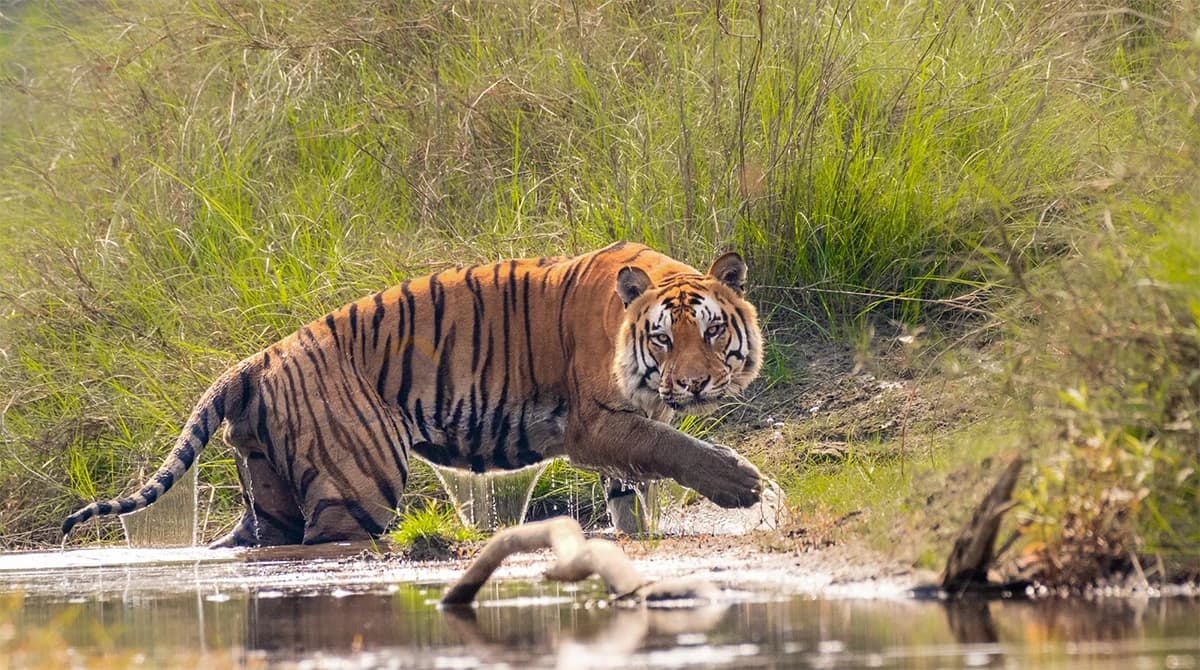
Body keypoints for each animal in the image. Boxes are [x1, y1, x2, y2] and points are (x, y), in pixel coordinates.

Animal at [61, 242, 764, 547]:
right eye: (663, 339)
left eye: (711, 330)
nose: (692, 382)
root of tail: (256, 360)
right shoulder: (595, 424)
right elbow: (670, 447)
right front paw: (743, 486)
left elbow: (635, 484)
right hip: (357, 486)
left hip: (269, 493)